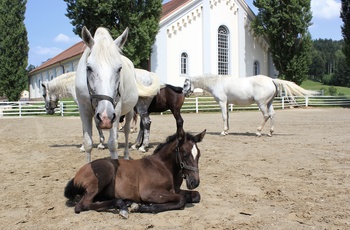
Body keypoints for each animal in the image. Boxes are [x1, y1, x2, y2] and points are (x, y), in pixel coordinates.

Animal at [64, 129, 206, 217]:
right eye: (185, 154)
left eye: (199, 154)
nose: (194, 182)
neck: (164, 167)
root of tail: (77, 175)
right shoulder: (148, 192)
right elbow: (181, 200)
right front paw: (143, 207)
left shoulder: (175, 190)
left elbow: (196, 195)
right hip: (105, 172)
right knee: (82, 205)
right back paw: (123, 207)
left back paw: (125, 203)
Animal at [76, 26, 159, 162]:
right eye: (89, 68)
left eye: (119, 69)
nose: (105, 117)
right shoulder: (84, 110)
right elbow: (88, 143)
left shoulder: (116, 110)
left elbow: (112, 144)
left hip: (130, 111)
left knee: (126, 131)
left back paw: (127, 155)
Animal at [183, 74, 318, 137]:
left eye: (185, 84)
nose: (183, 93)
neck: (217, 83)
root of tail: (271, 80)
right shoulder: (226, 103)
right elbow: (228, 117)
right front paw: (227, 131)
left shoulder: (222, 102)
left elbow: (224, 117)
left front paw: (223, 132)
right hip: (269, 103)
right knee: (272, 115)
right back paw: (270, 132)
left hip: (261, 103)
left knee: (266, 115)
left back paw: (258, 132)